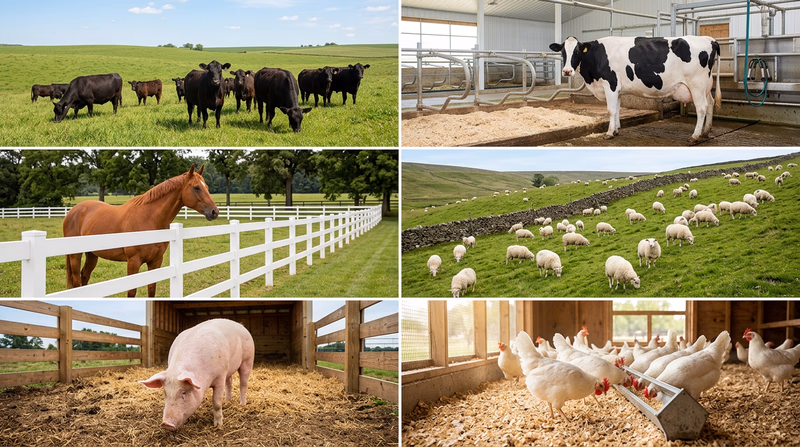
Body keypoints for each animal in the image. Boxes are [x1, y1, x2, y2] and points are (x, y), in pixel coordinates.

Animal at [62, 164, 219, 297]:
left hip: (92, 254)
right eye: (197, 187)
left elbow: (151, 289)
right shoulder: (133, 261)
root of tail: (72, 211)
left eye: (207, 186)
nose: (214, 212)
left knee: (84, 276)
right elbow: (132, 292)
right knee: (76, 280)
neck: (148, 219)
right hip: (75, 255)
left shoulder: (156, 261)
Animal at [549, 36, 721, 142]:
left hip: (696, 84)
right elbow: (617, 109)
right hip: (706, 85)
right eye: (563, 52)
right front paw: (616, 129)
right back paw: (706, 131)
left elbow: (611, 110)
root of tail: (709, 39)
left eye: (577, 51)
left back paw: (695, 135)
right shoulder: (617, 89)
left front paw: (609, 133)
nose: (566, 71)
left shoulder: (610, 84)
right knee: (711, 103)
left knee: (701, 108)